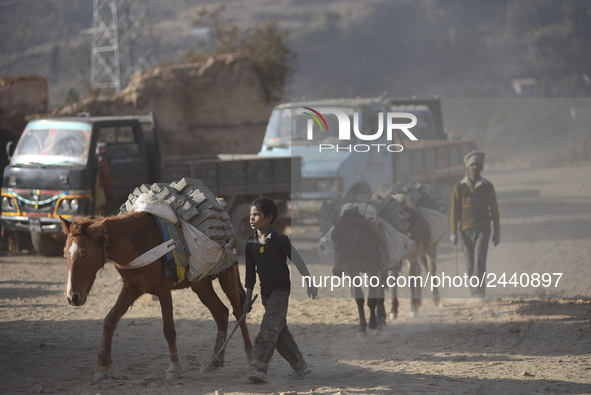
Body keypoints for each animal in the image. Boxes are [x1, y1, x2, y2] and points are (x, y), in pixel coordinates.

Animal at [59, 212, 252, 382]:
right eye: (64, 253)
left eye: (84, 254)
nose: (72, 296)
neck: (136, 242)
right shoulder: (132, 287)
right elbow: (109, 320)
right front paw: (101, 368)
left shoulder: (163, 290)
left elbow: (169, 329)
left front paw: (174, 368)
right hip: (200, 284)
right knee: (221, 313)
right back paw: (214, 362)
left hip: (228, 275)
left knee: (238, 310)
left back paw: (249, 354)